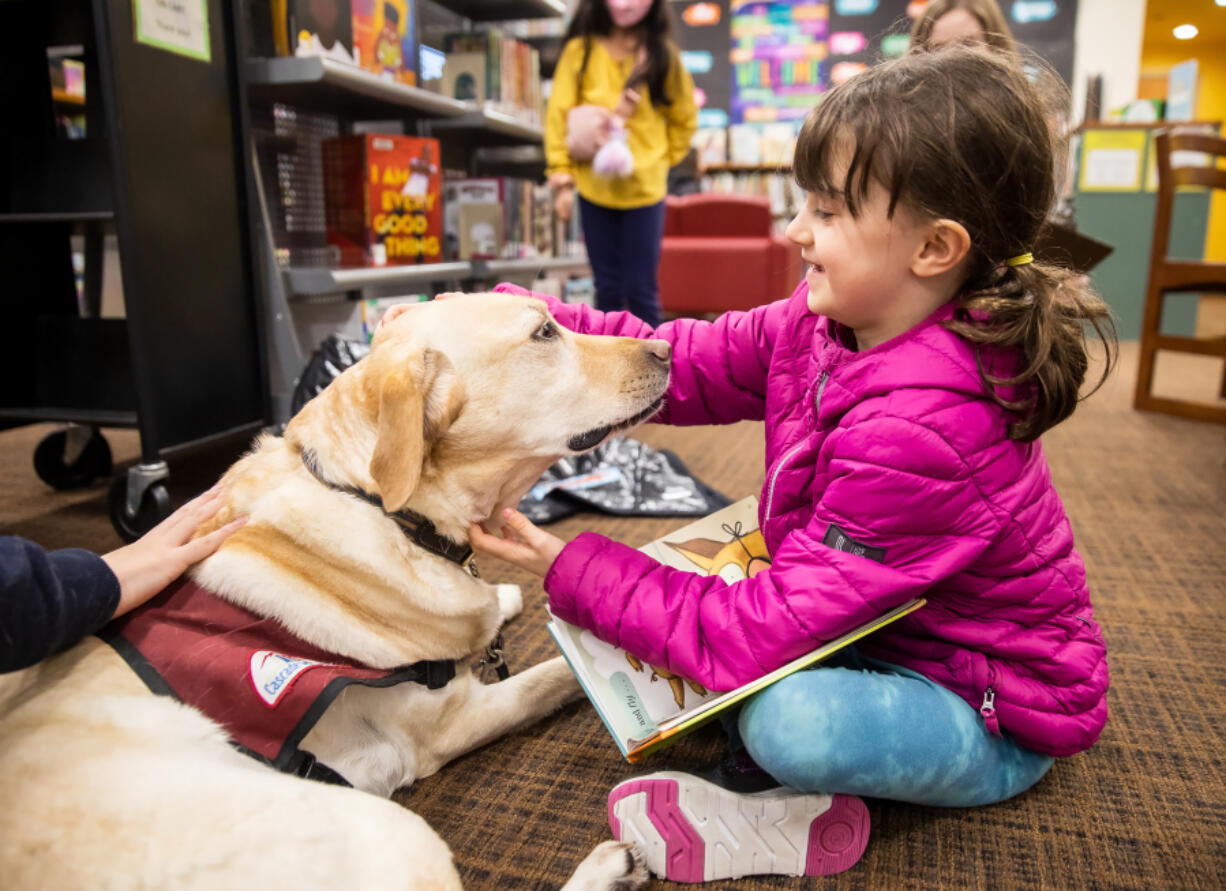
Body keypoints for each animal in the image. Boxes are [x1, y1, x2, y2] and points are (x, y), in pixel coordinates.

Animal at [0, 290, 671, 887]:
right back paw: (609, 868)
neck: (378, 503)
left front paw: (504, 601)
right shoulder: (451, 722)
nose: (666, 347)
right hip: (388, 827)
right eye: (543, 334)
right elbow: (548, 676)